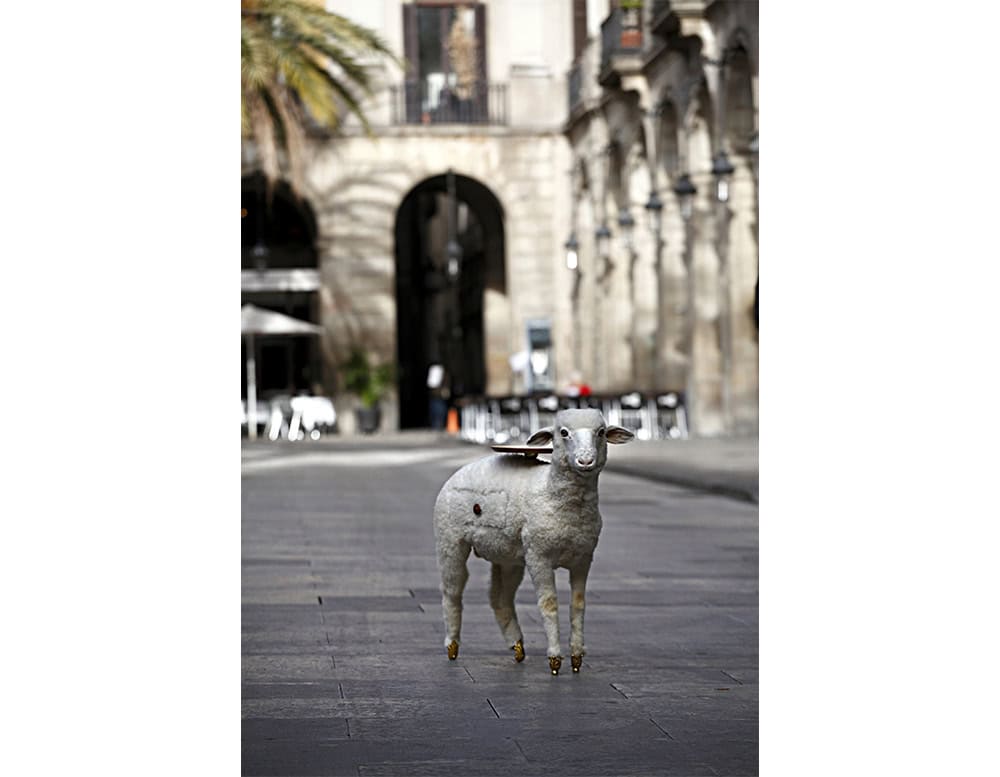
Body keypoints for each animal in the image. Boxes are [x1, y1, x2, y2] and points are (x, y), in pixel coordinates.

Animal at [433, 408, 634, 674]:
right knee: (452, 589)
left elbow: (578, 604)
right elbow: (549, 604)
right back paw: (452, 645)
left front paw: (577, 657)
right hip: (450, 539)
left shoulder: (583, 558)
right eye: (563, 433)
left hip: (507, 553)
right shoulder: (539, 556)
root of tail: (462, 470)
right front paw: (555, 659)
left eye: (601, 432)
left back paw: (516, 646)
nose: (585, 461)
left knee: (499, 596)